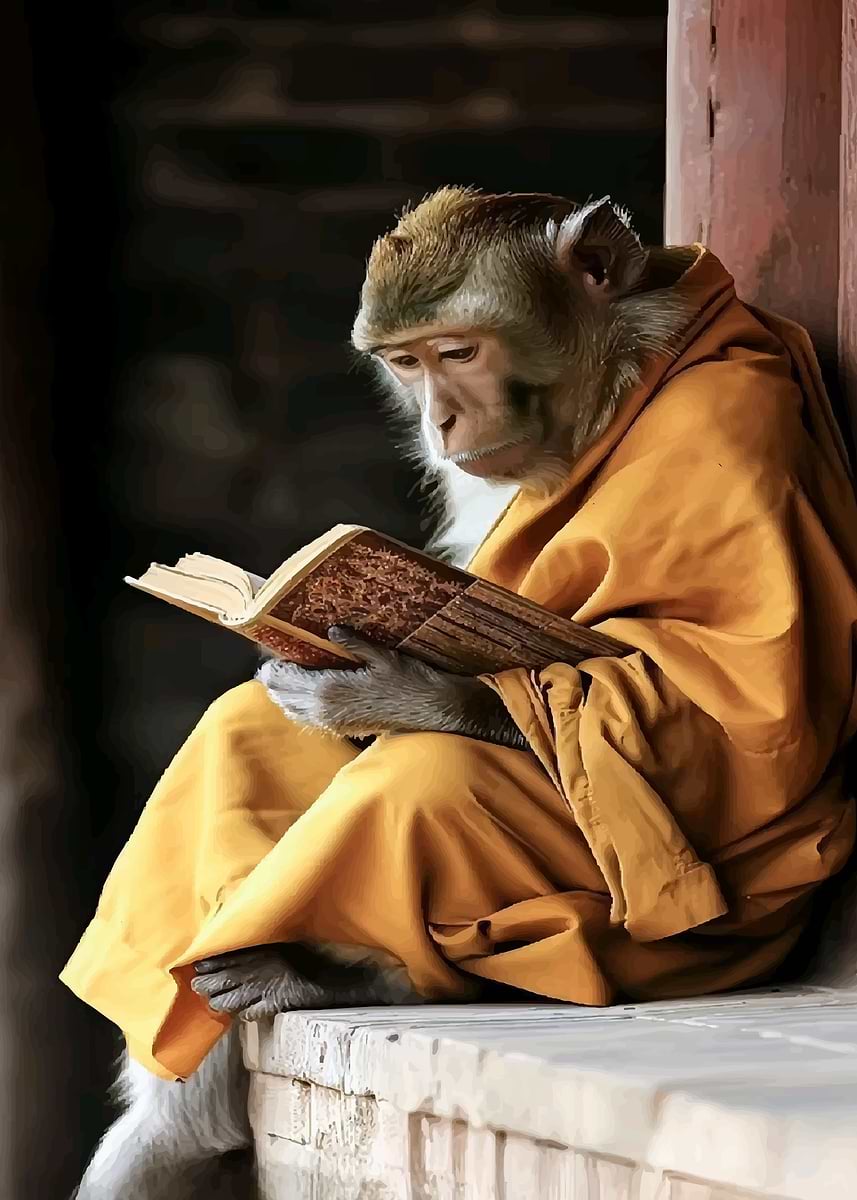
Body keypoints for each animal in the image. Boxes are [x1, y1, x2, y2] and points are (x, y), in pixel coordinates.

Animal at [74, 187, 698, 1198]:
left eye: (461, 352)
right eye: (407, 363)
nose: (440, 420)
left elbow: (660, 703)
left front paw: (396, 694)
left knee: (441, 781)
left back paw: (348, 983)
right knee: (241, 728)